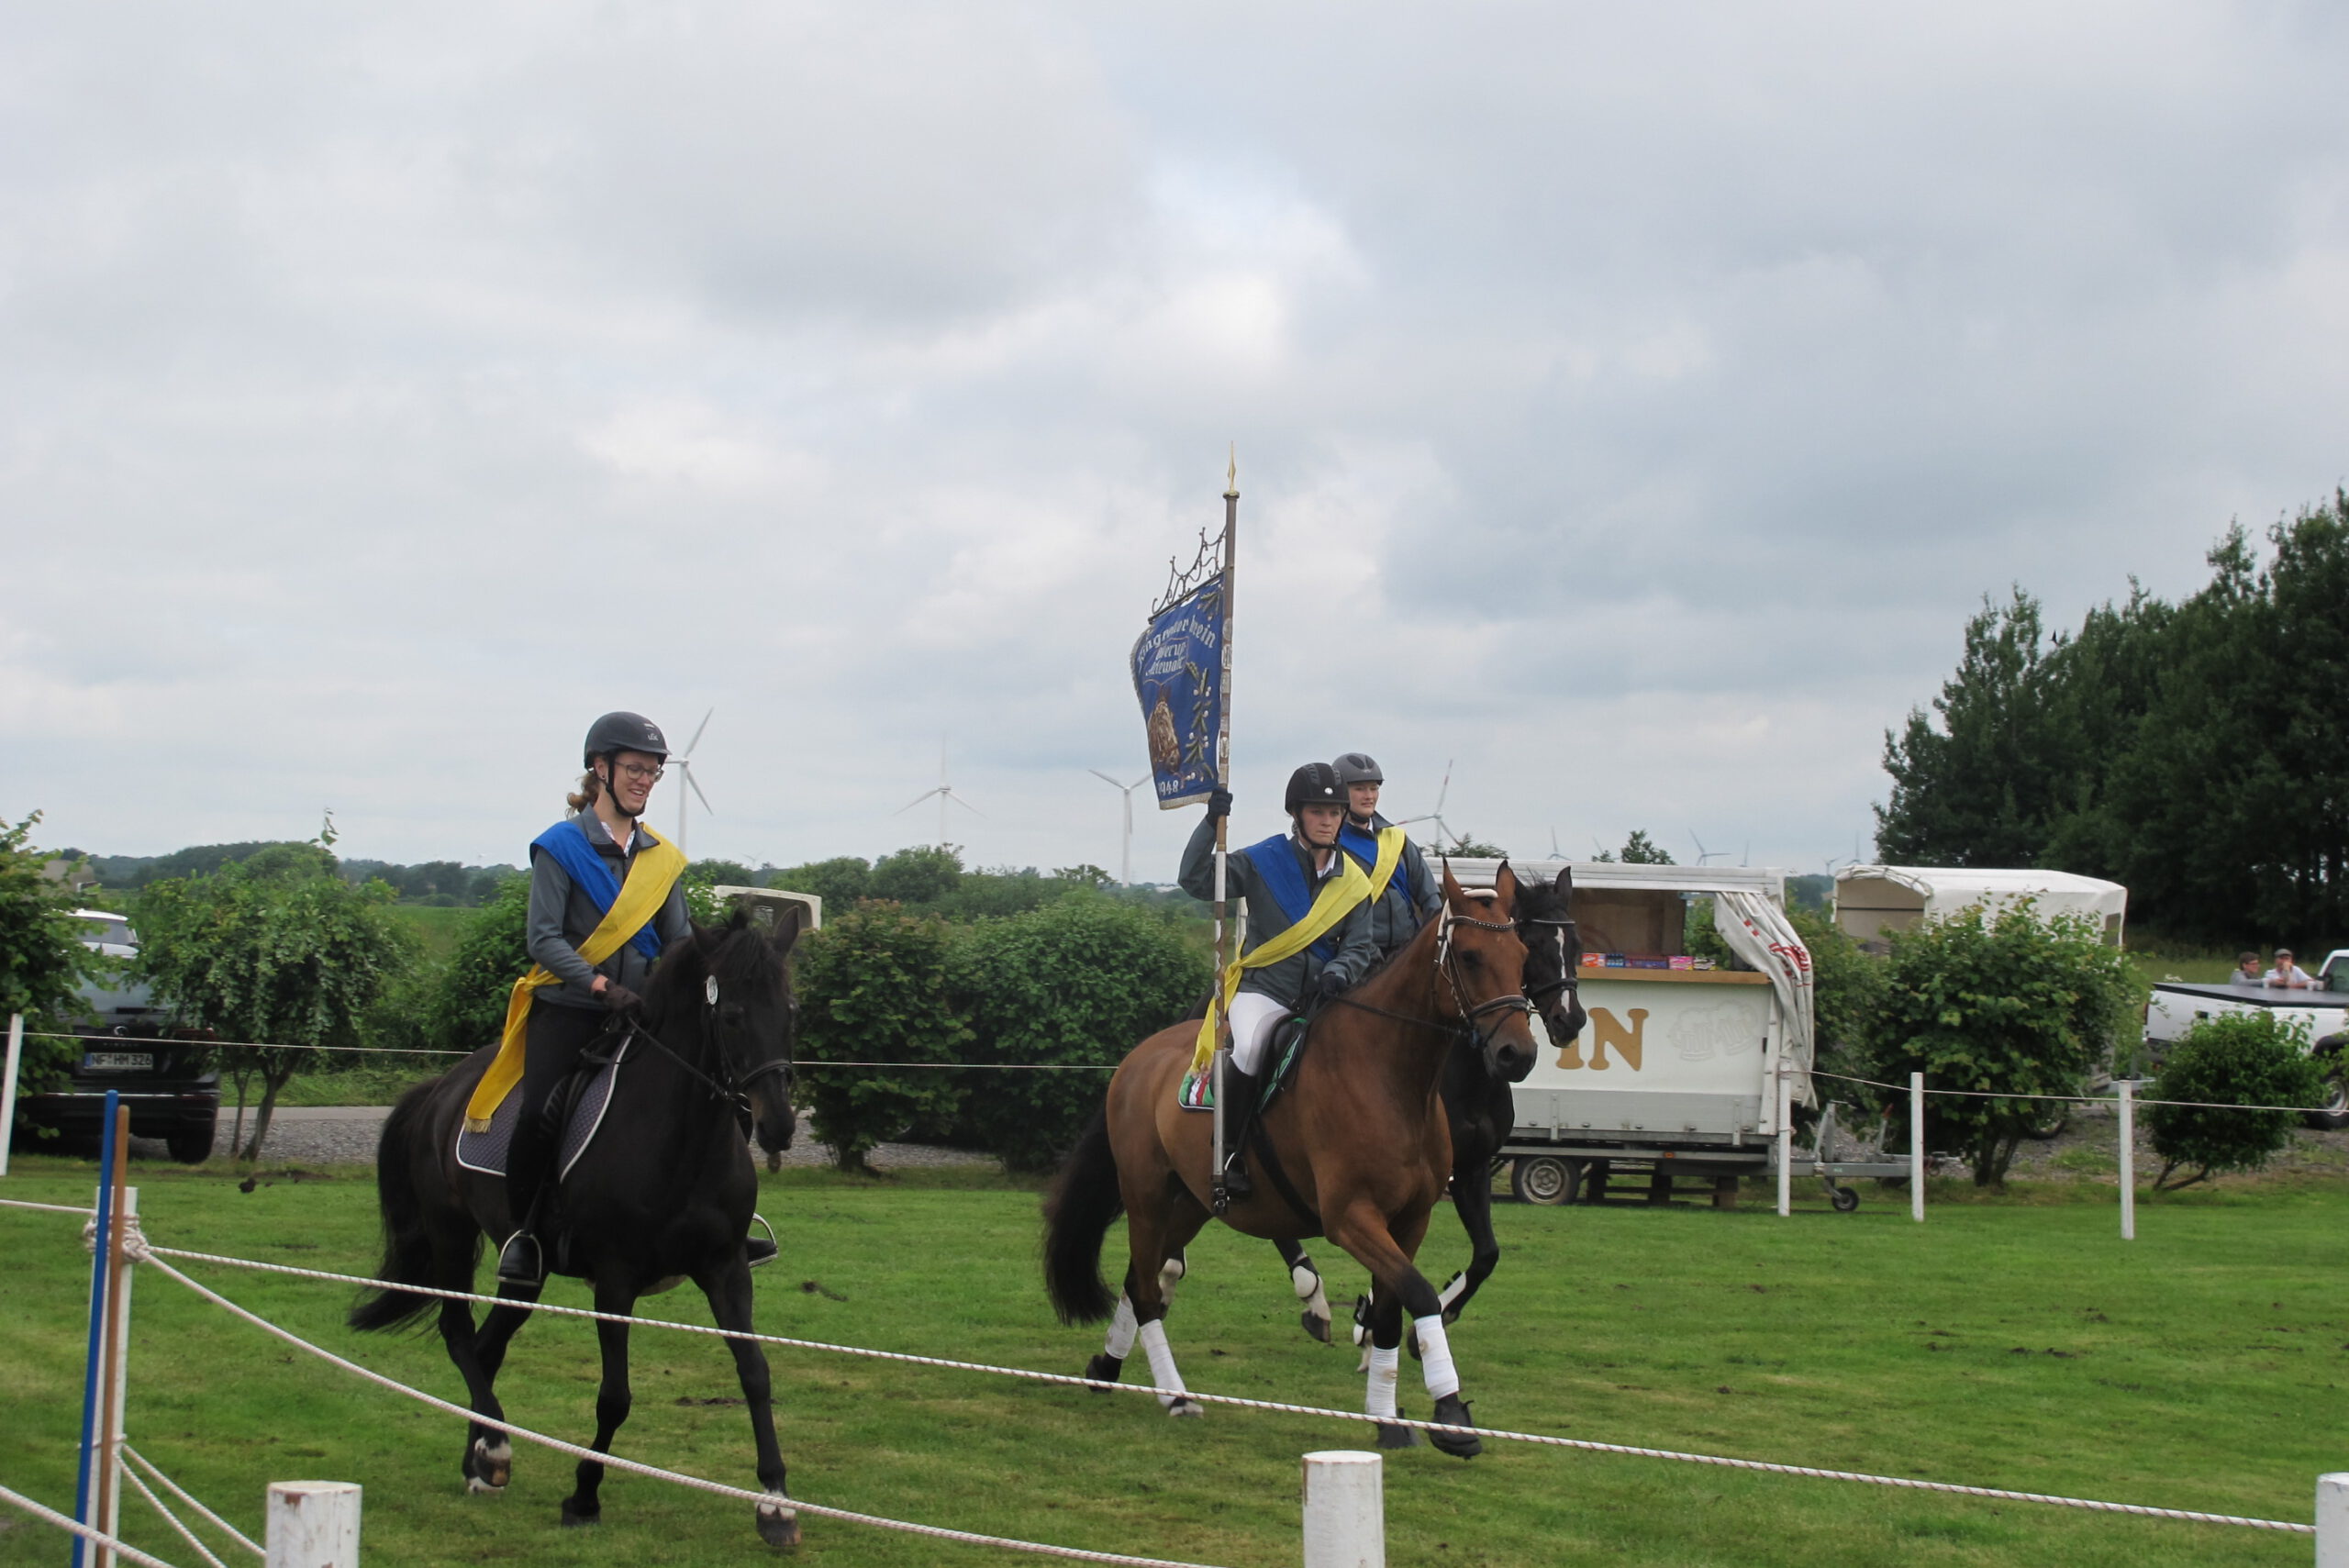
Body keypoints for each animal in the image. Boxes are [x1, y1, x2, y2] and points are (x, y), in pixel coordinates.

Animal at [349, 907, 805, 1546]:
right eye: (733, 1015)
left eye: (789, 1012)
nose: (779, 1126)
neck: (681, 1140)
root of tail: (442, 1088)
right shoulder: (615, 1281)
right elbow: (614, 1397)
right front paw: (584, 1495)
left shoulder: (727, 1269)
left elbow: (756, 1374)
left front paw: (776, 1504)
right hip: (450, 1234)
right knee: (458, 1333)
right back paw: (495, 1449)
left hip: (527, 1272)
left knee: (487, 1347)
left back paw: (478, 1459)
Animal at [1043, 863, 1540, 1455]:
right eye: (1468, 956)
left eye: (1522, 955)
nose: (1517, 1054)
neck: (1394, 1079)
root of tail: (1139, 1057)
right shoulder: (1351, 1218)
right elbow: (1418, 1293)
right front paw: (1449, 1413)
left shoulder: (1411, 1219)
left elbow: (1392, 1311)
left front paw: (1388, 1418)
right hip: (1146, 1197)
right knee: (1144, 1290)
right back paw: (1176, 1396)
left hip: (1190, 1205)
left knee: (1136, 1277)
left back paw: (1107, 1367)